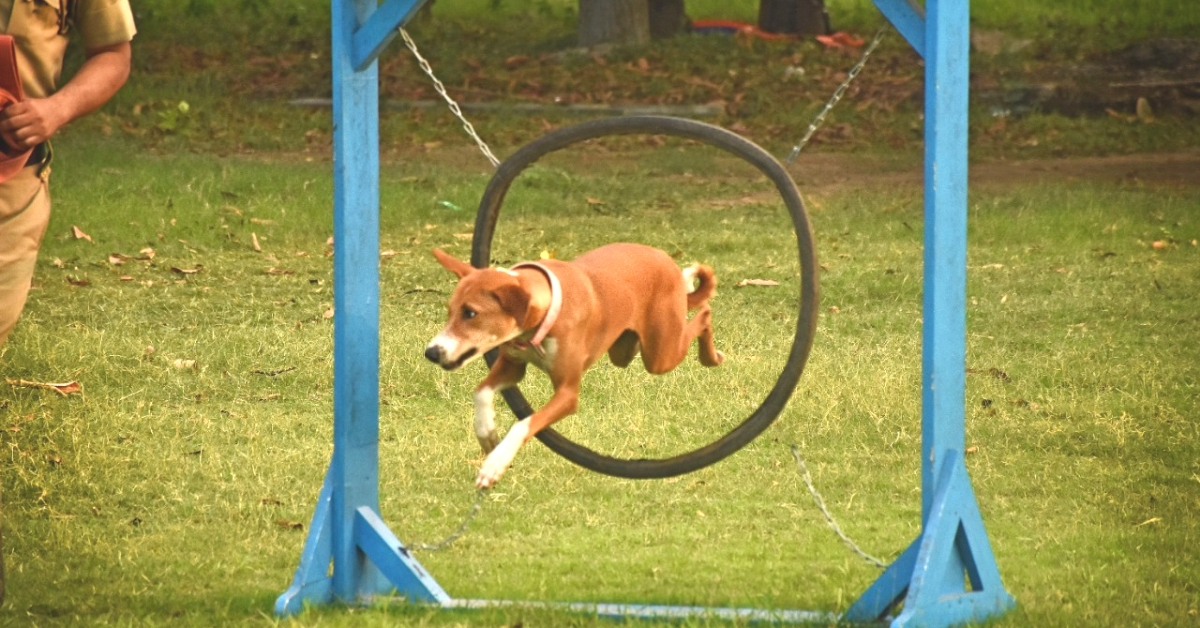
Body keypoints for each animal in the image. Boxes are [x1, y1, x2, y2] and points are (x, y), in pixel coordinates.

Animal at [424, 243, 720, 489]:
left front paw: (495, 464)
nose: (431, 353)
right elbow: (481, 392)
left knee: (704, 313)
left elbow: (524, 424)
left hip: (661, 355)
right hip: (624, 350)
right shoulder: (512, 365)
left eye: (470, 313)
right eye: (450, 311)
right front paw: (487, 434)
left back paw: (710, 355)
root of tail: (664, 258)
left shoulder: (567, 393)